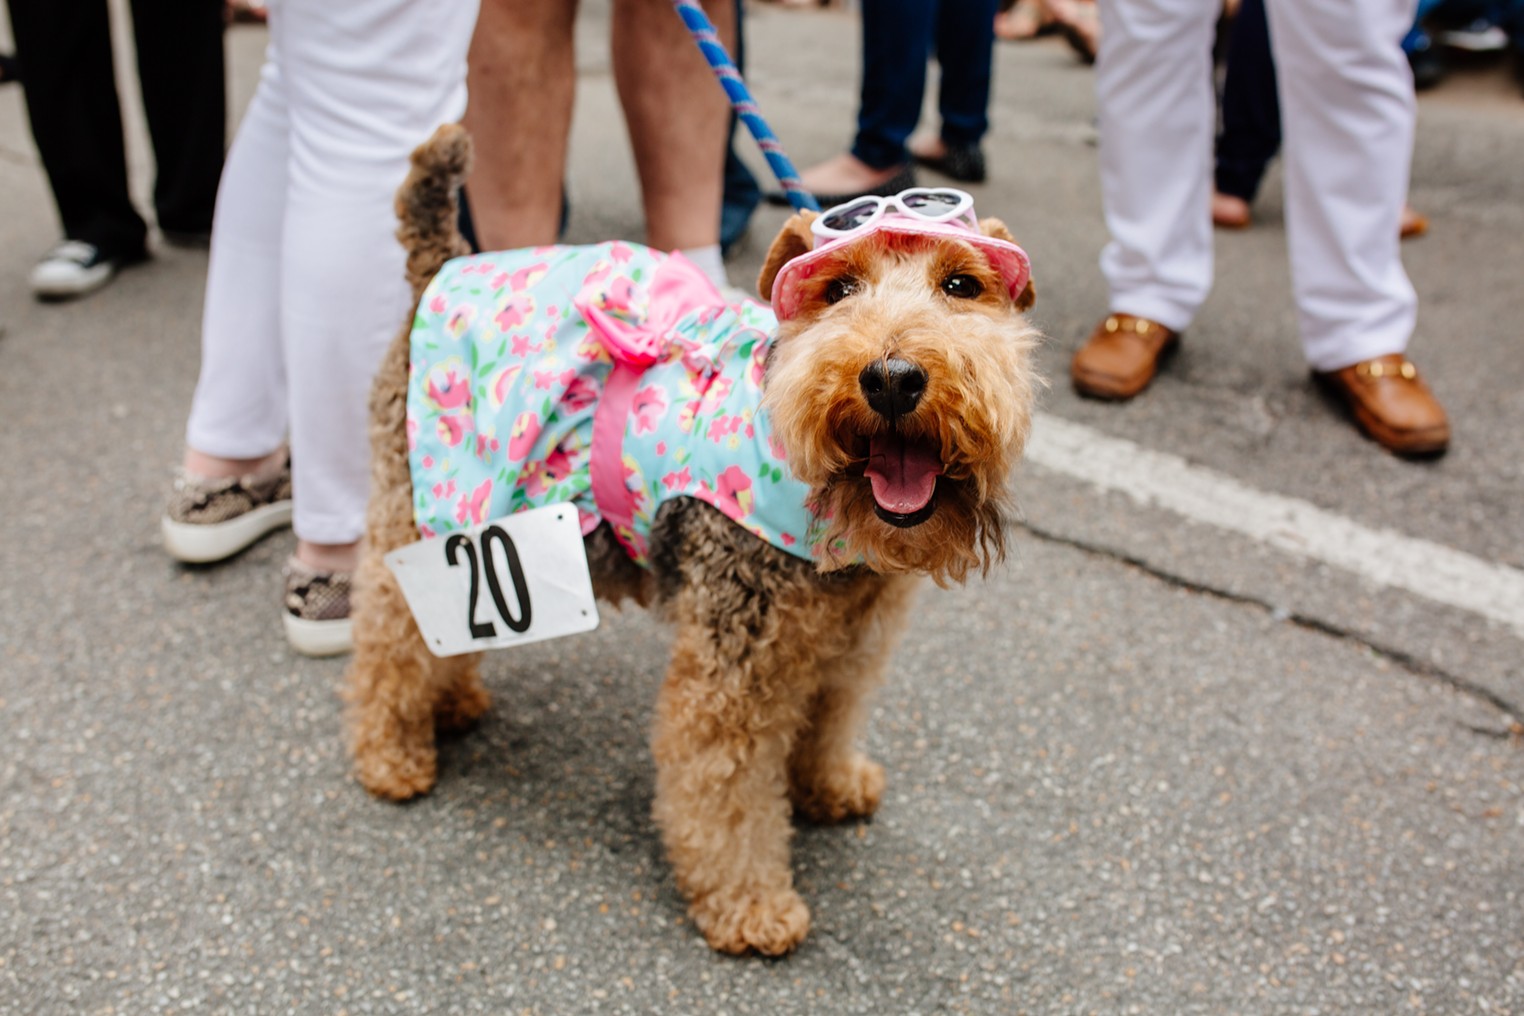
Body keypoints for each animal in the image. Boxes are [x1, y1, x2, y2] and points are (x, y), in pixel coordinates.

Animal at [342, 123, 1036, 956]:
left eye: (962, 285)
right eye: (838, 289)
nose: (892, 378)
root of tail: (438, 265)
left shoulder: (848, 640)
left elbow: (830, 718)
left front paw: (830, 784)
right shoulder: (731, 670)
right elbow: (724, 795)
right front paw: (751, 906)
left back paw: (450, 703)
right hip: (425, 511)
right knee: (386, 633)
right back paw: (390, 753)